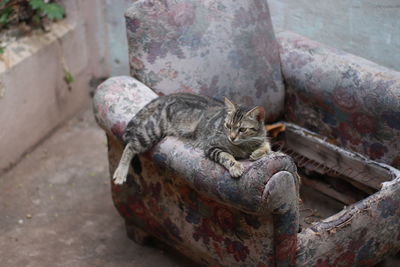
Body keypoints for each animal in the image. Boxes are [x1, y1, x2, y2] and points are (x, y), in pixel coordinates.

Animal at [112, 93, 272, 185]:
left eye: (242, 129)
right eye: (228, 126)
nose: (231, 137)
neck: (244, 146)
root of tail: (169, 96)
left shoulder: (262, 137)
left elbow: (267, 146)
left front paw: (258, 152)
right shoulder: (212, 145)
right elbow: (226, 156)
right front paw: (236, 166)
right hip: (152, 130)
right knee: (130, 146)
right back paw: (120, 172)